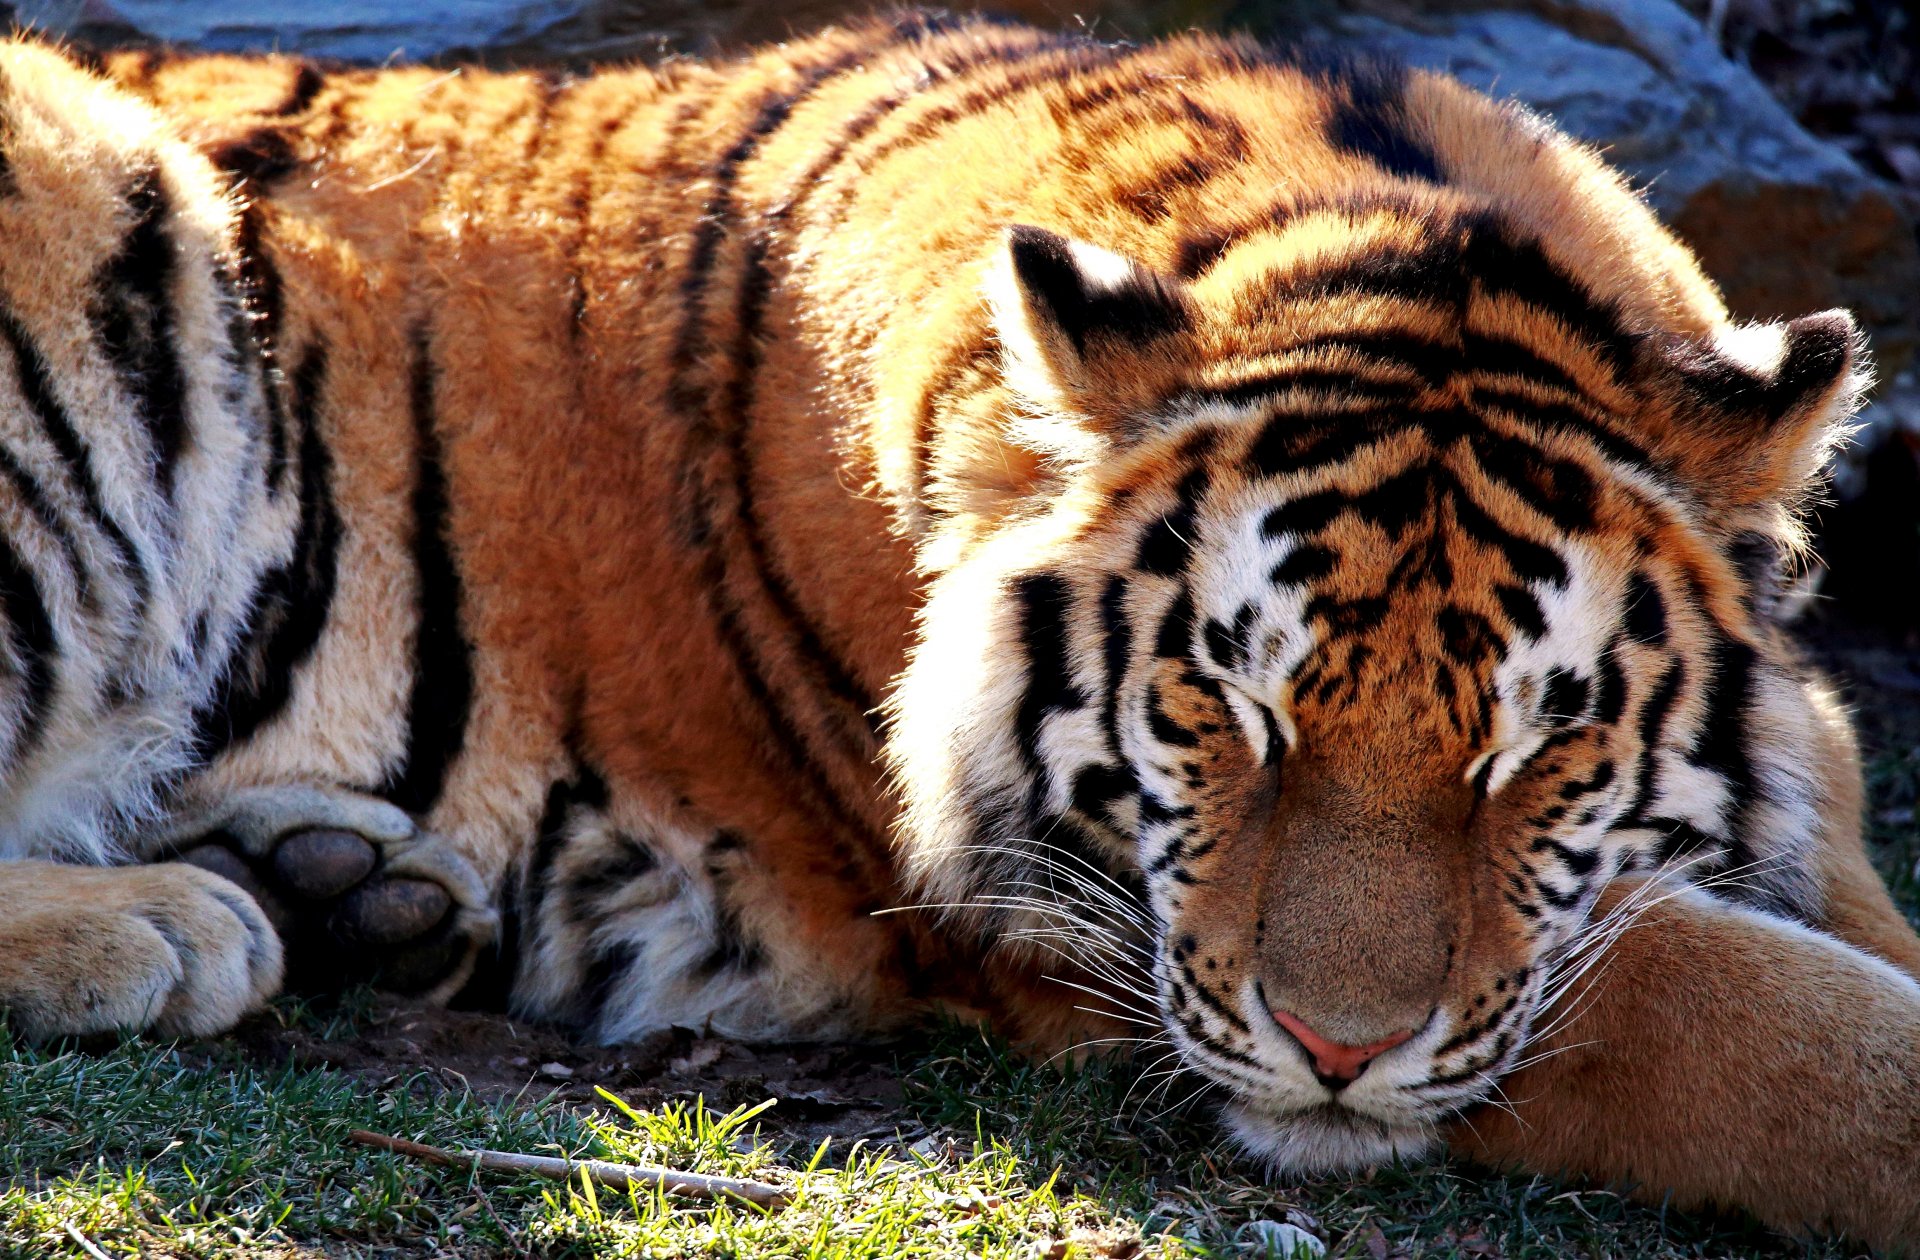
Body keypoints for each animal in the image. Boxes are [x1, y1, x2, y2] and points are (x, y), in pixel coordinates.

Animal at [0, 9, 1915, 1249]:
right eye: (1230, 704)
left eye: (1540, 743)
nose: (1338, 1055)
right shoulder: (1084, 933)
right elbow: (1731, 1010)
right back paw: (171, 923)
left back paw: (347, 895)